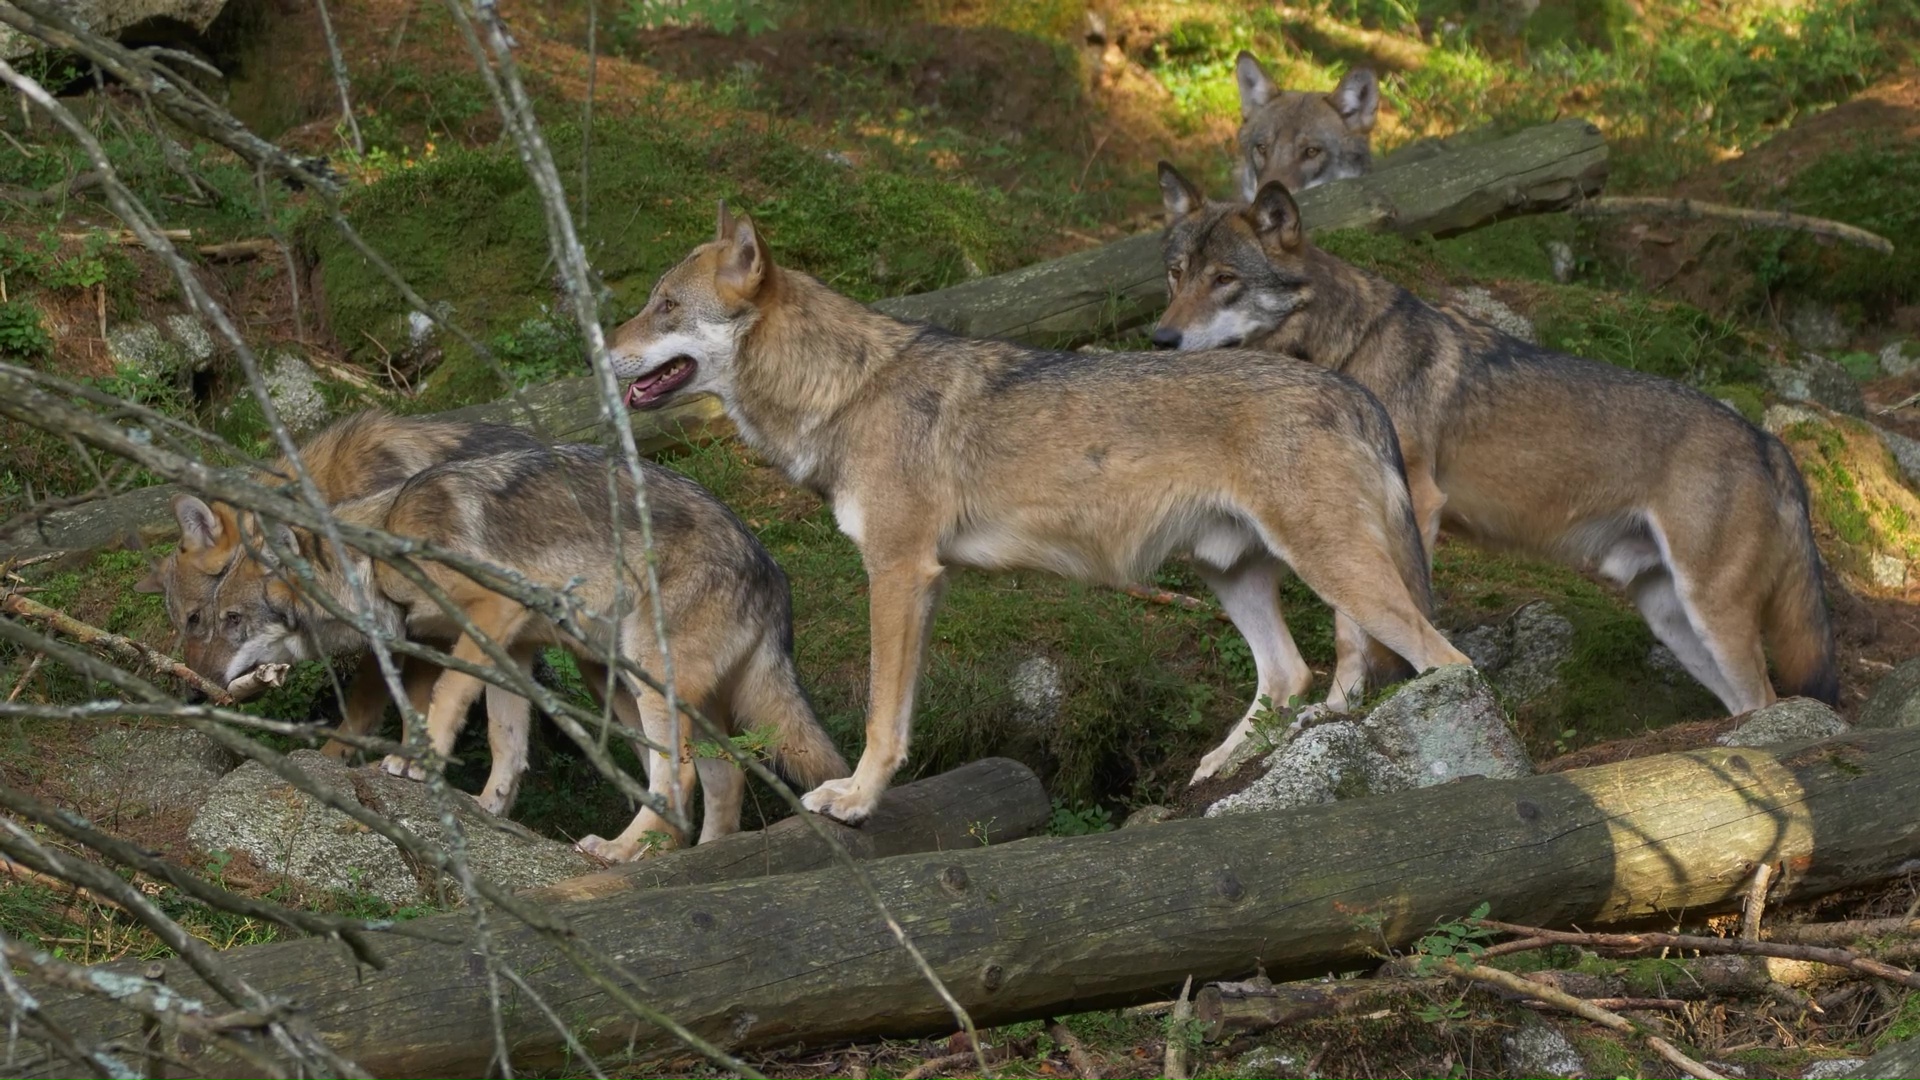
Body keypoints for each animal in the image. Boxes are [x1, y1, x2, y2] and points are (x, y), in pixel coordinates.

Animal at [145, 425, 846, 855]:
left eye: (226, 620)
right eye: (203, 619)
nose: (196, 689)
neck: (375, 552)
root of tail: (770, 568)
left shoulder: (489, 616)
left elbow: (444, 698)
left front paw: (413, 760)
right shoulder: (513, 650)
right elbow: (508, 743)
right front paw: (489, 808)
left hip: (643, 678)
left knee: (680, 779)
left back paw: (620, 854)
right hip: (634, 686)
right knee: (723, 776)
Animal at [604, 202, 1472, 818]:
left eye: (664, 306)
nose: (600, 350)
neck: (846, 390)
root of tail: (1352, 391)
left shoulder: (898, 571)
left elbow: (883, 717)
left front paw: (854, 800)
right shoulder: (923, 581)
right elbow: (899, 714)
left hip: (1335, 573)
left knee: (1446, 660)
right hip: (1231, 574)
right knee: (1288, 673)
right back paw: (1215, 773)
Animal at [1152, 164, 1839, 717]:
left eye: (1225, 279)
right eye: (1176, 276)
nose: (1160, 339)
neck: (1343, 348)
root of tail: (1770, 444)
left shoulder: (1412, 504)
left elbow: (1362, 628)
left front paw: (1351, 708)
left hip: (1711, 612)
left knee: (1769, 697)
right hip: (1674, 620)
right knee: (1744, 701)